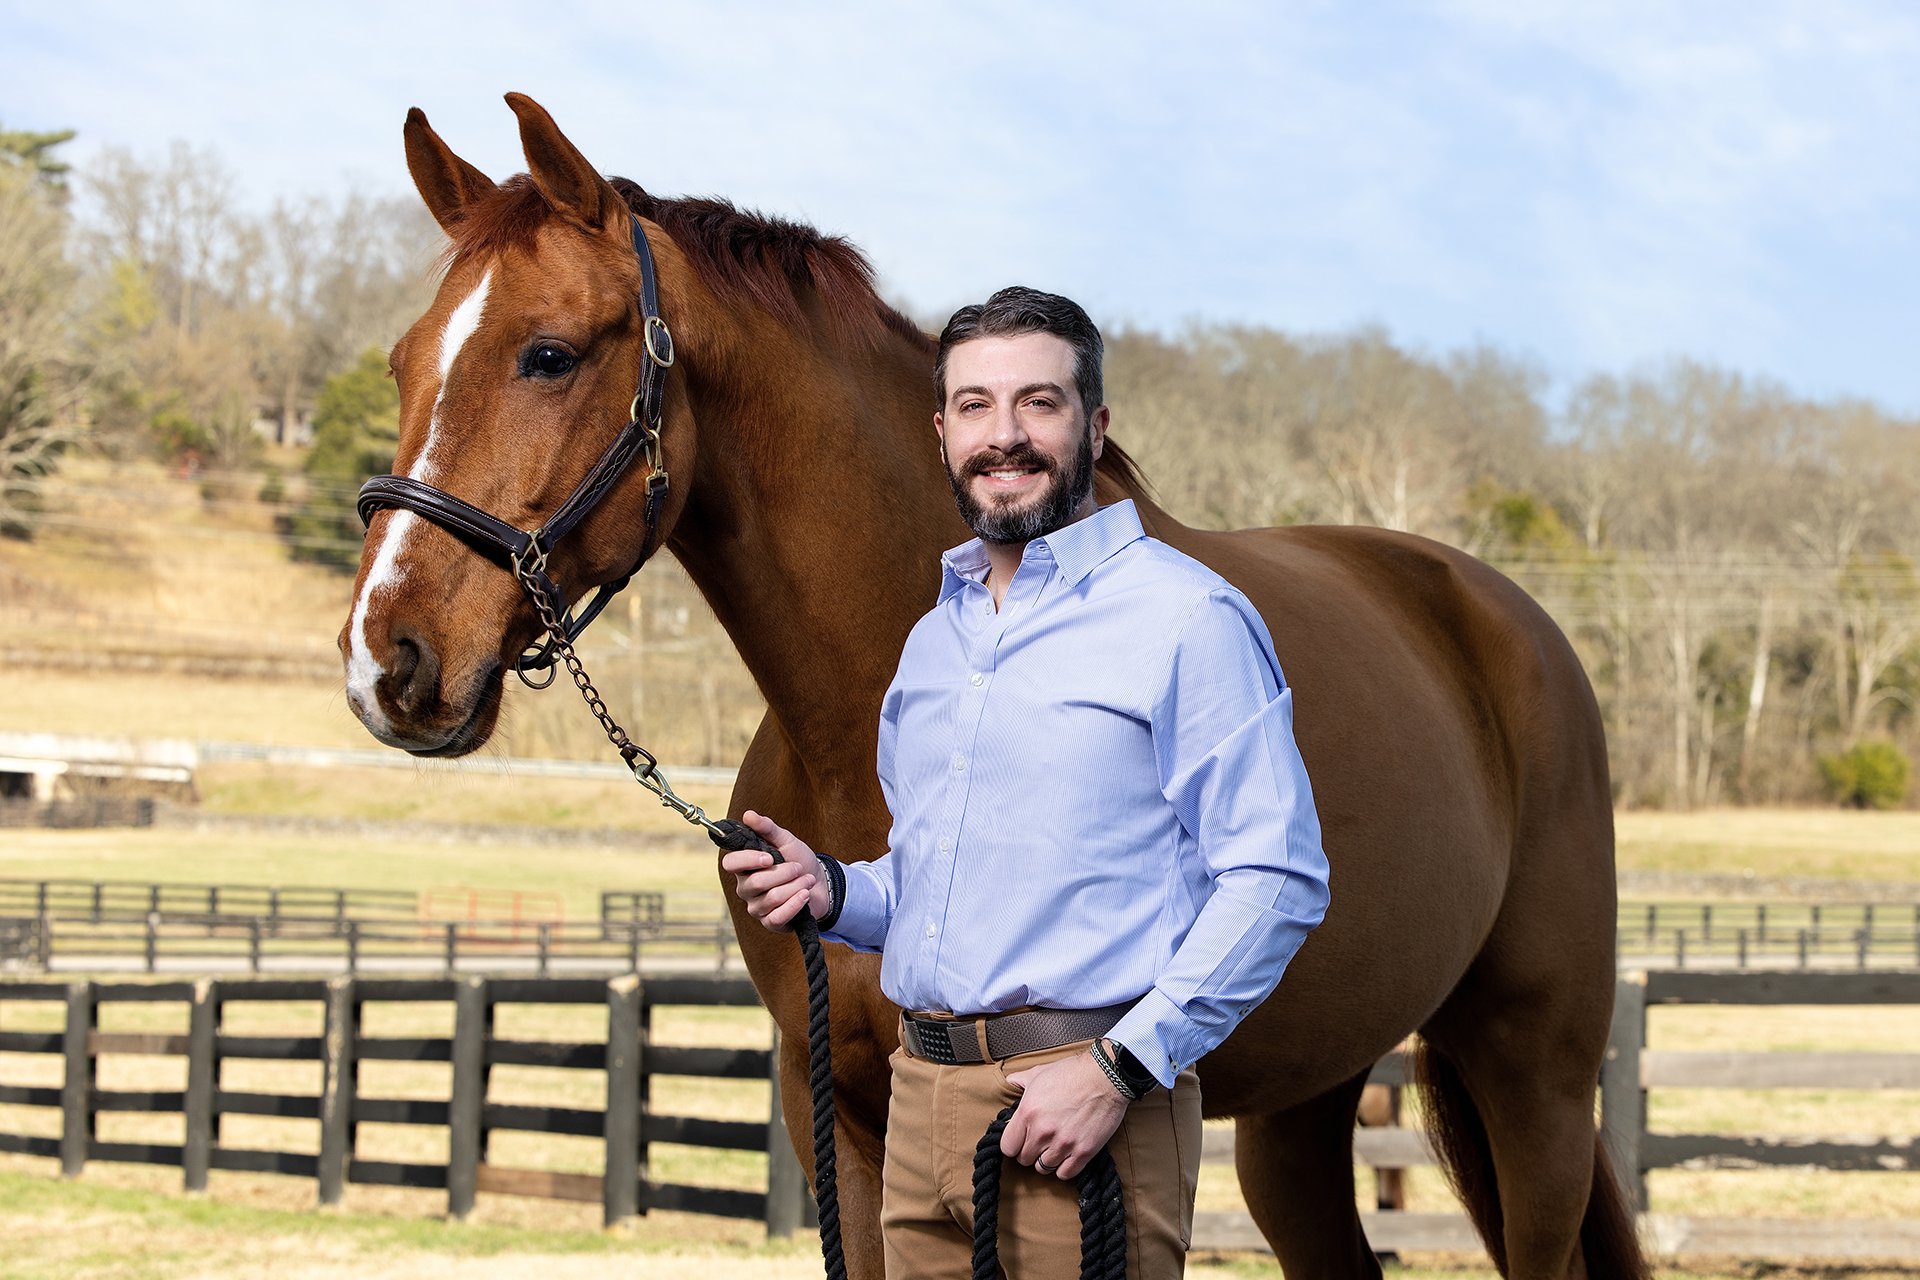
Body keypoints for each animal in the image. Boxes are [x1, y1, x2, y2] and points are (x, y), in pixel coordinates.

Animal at [338, 93, 1647, 1280]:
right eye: (403, 363)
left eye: (549, 353)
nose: (384, 657)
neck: (862, 718)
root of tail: (1507, 619)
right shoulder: (840, 1110)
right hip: (1306, 1101)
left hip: (1530, 1071)